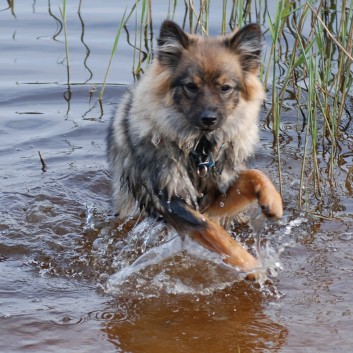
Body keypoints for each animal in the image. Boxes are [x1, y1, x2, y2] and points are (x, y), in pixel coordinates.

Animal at [106, 20, 282, 278]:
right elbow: (212, 231)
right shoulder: (171, 199)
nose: (209, 118)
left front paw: (273, 201)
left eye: (225, 88)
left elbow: (254, 174)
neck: (199, 149)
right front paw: (251, 265)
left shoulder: (214, 196)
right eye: (191, 86)